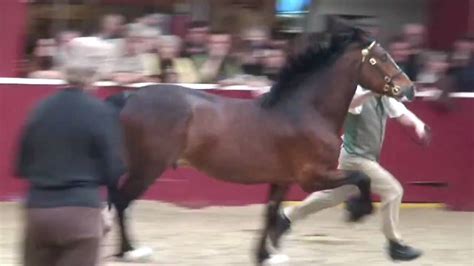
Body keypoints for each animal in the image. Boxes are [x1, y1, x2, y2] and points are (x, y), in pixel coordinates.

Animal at [110, 22, 414, 264]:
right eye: (382, 57)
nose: (409, 88)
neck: (306, 111)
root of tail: (129, 97)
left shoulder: (282, 179)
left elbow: (268, 213)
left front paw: (265, 255)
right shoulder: (313, 177)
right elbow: (362, 177)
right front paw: (358, 211)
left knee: (118, 200)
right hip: (148, 167)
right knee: (123, 201)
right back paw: (131, 251)